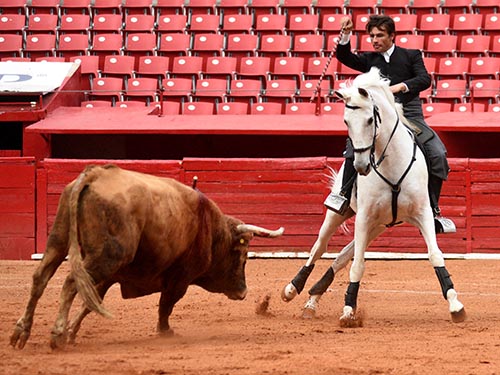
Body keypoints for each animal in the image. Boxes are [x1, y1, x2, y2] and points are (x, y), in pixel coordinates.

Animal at [10, 164, 286, 350]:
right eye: (243, 255)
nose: (244, 292)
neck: (211, 228)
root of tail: (96, 173)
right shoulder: (180, 277)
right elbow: (166, 304)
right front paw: (165, 331)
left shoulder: (114, 275)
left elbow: (91, 302)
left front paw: (71, 331)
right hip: (106, 256)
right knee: (69, 283)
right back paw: (55, 335)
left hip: (58, 241)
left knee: (41, 278)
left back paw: (21, 333)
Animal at [282, 67, 464, 326]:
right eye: (346, 121)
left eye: (370, 119)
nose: (360, 166)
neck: (392, 164)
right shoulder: (364, 216)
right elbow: (358, 264)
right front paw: (349, 309)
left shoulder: (423, 214)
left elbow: (435, 255)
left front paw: (455, 304)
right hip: (342, 214)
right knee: (320, 246)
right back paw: (292, 288)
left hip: (379, 225)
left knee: (342, 255)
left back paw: (312, 300)